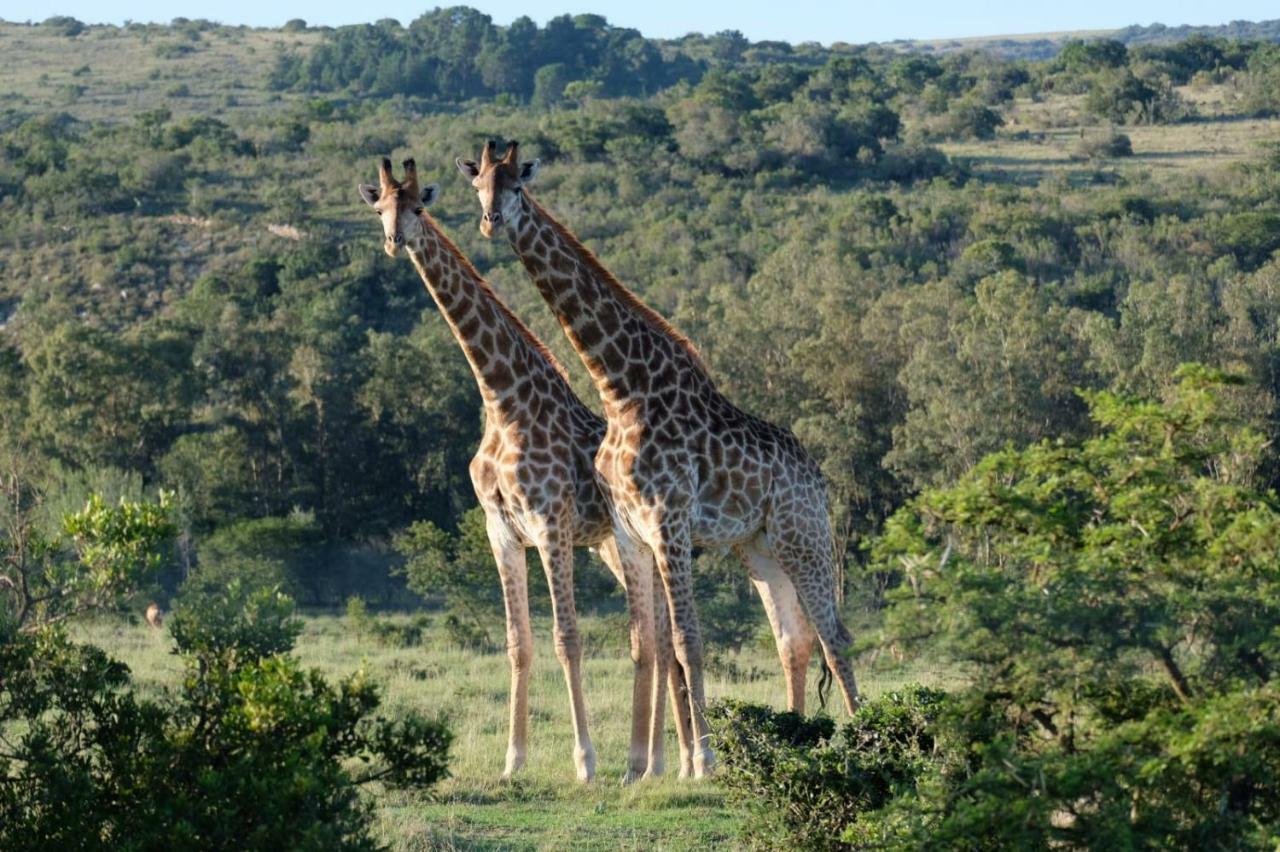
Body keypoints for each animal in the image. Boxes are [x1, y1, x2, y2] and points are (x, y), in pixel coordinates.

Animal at [358, 156, 691, 777]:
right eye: (381, 208)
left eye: (417, 207)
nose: (395, 240)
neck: (501, 399)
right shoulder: (502, 531)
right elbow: (518, 642)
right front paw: (513, 760)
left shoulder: (550, 525)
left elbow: (567, 637)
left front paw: (584, 762)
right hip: (611, 546)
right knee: (657, 632)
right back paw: (664, 760)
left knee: (658, 634)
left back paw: (664, 761)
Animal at [460, 140, 860, 777]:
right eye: (479, 188)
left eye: (517, 186)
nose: (491, 221)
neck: (623, 389)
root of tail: (818, 477)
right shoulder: (635, 530)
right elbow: (660, 641)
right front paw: (672, 763)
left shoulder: (669, 521)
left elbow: (687, 640)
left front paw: (703, 763)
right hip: (760, 547)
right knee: (794, 638)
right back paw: (796, 742)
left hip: (805, 536)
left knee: (835, 635)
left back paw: (863, 737)